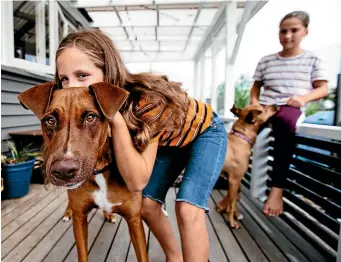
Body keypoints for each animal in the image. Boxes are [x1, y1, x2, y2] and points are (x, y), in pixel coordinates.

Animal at [17, 82, 147, 262]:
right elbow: (82, 252)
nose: (64, 171)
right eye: (50, 120)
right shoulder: (80, 218)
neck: (98, 173)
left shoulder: (134, 220)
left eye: (90, 117)